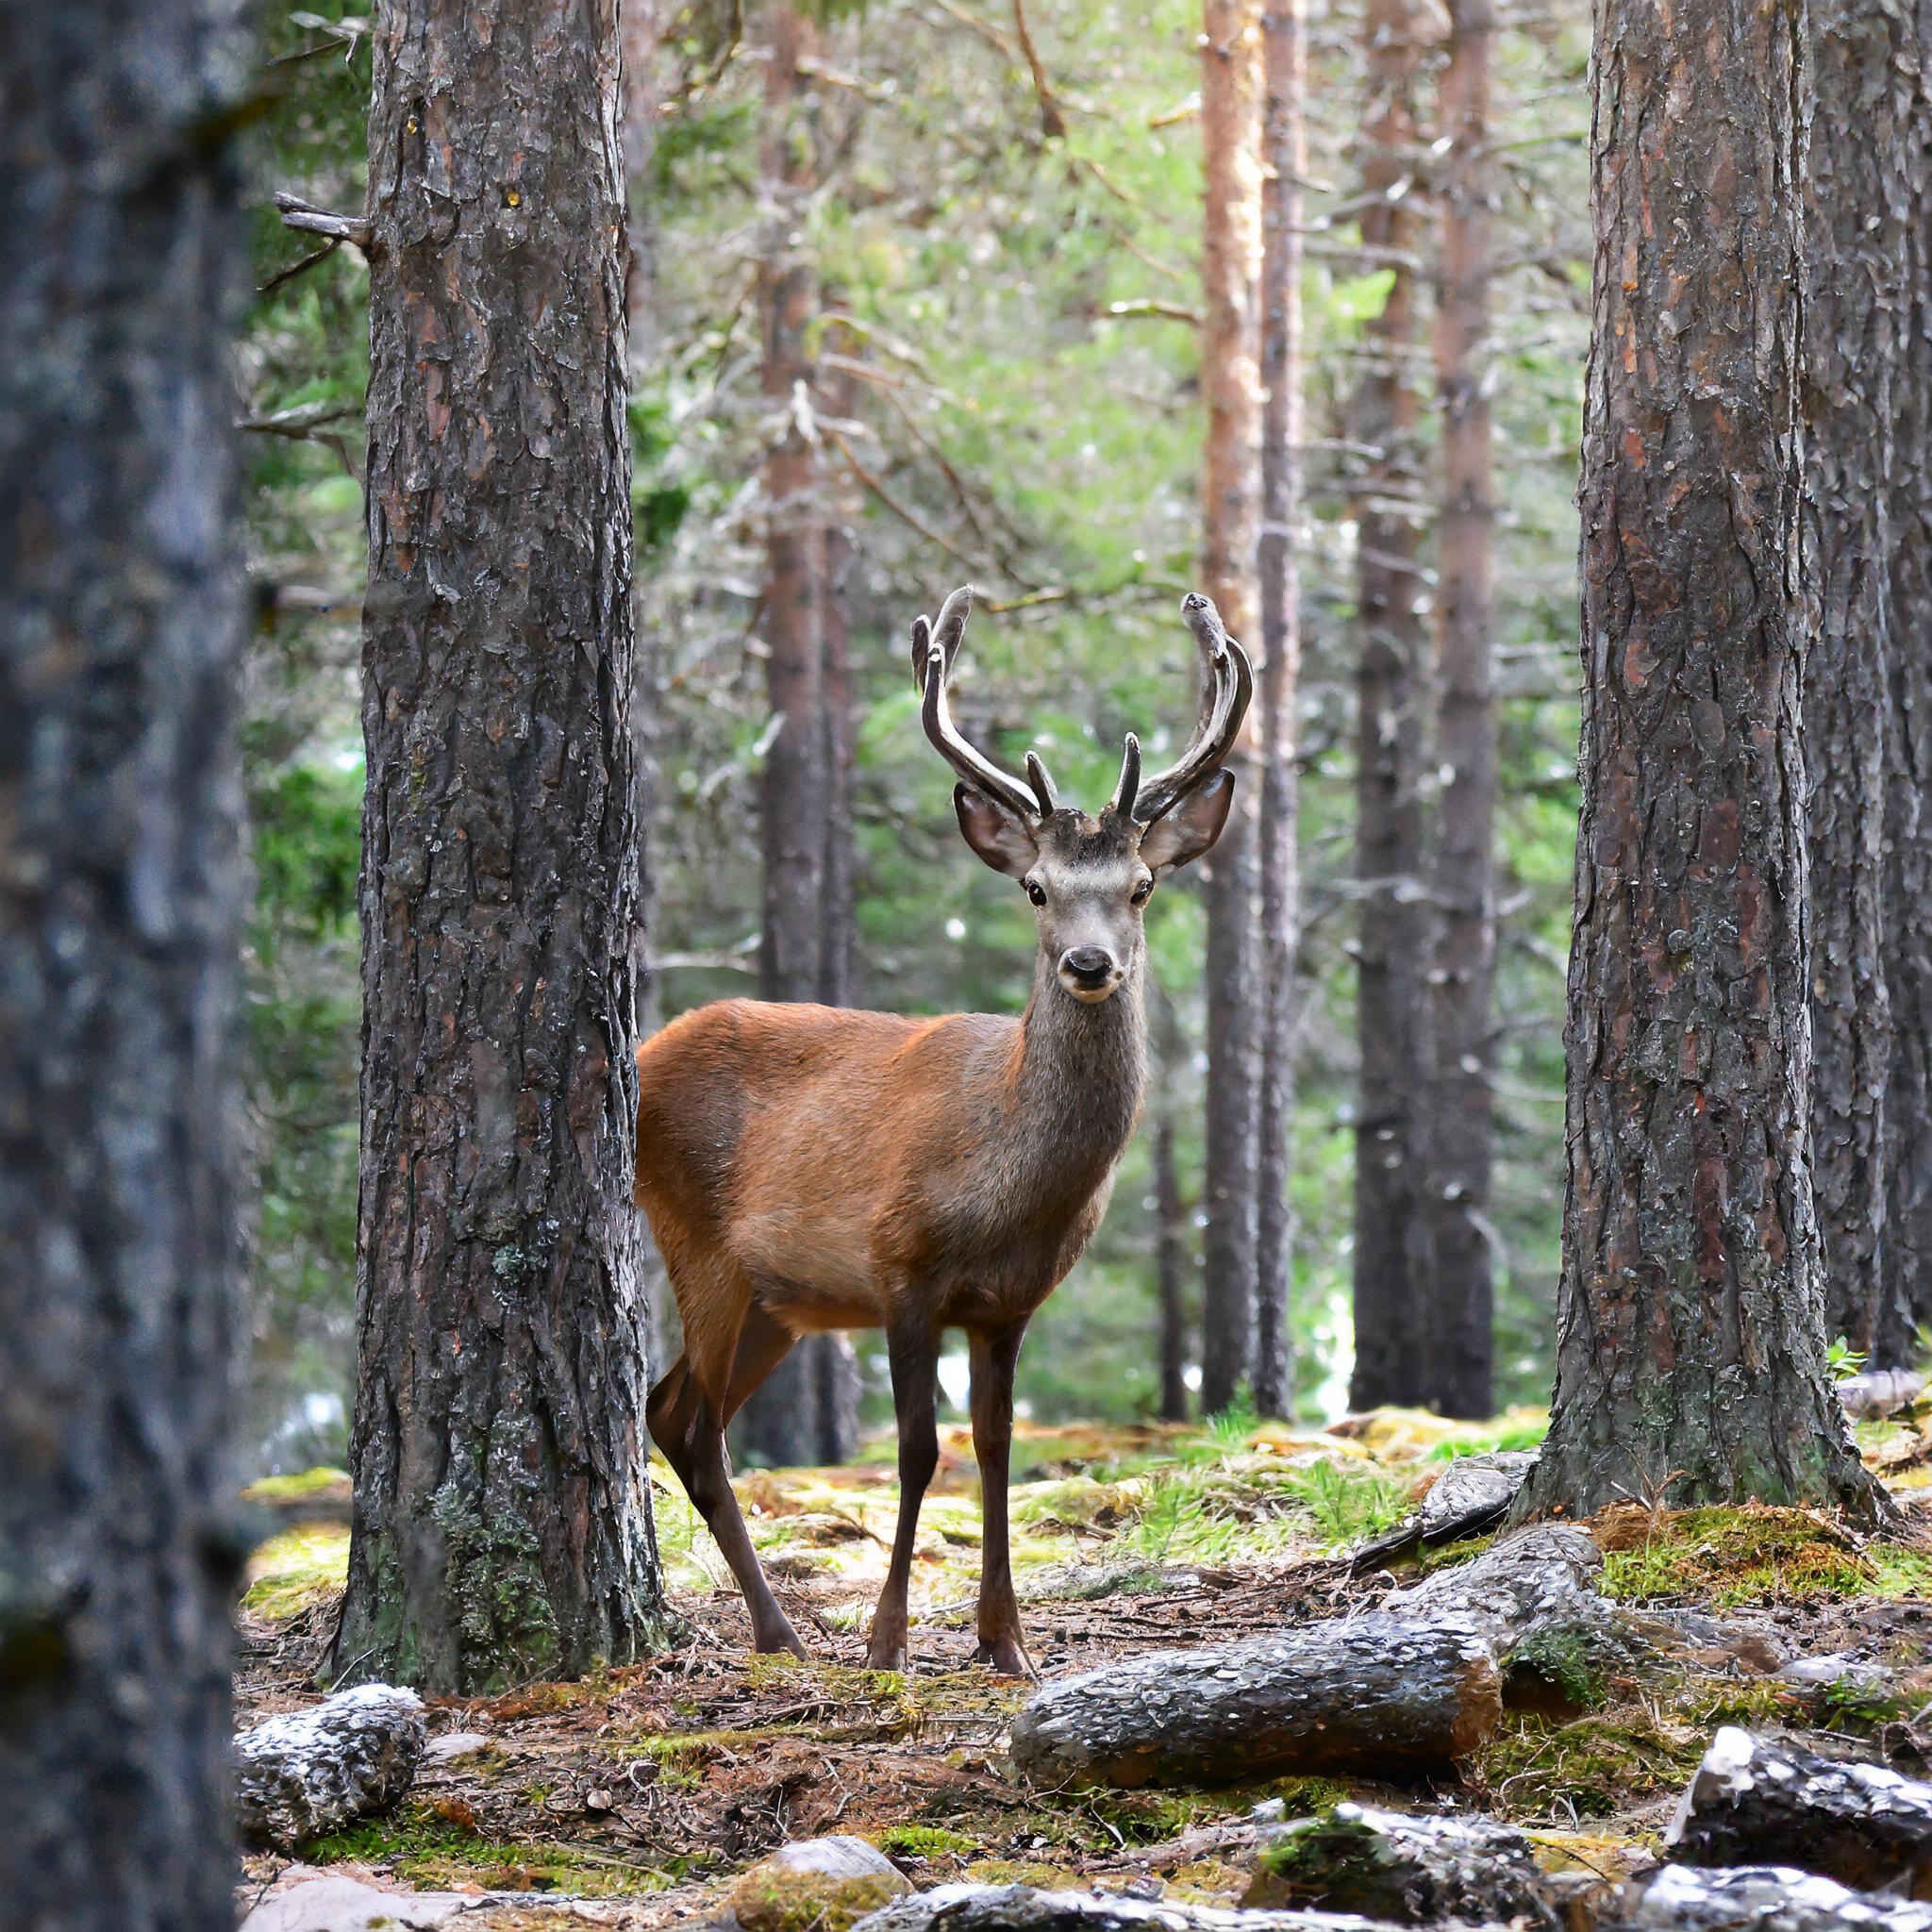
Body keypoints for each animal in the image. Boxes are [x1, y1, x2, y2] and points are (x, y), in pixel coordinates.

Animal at [635, 586, 1251, 1677]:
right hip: (697, 1243)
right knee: (694, 1424)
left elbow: (996, 1449)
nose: (1088, 963)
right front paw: (888, 1642)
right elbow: (918, 1449)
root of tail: (633, 1058)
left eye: (1139, 886)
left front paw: (1007, 1642)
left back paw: (779, 1630)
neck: (1007, 1191)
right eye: (1037, 887)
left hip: (777, 1301)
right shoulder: (900, 1268)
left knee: (676, 1417)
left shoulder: (1008, 1306)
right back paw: (783, 1631)